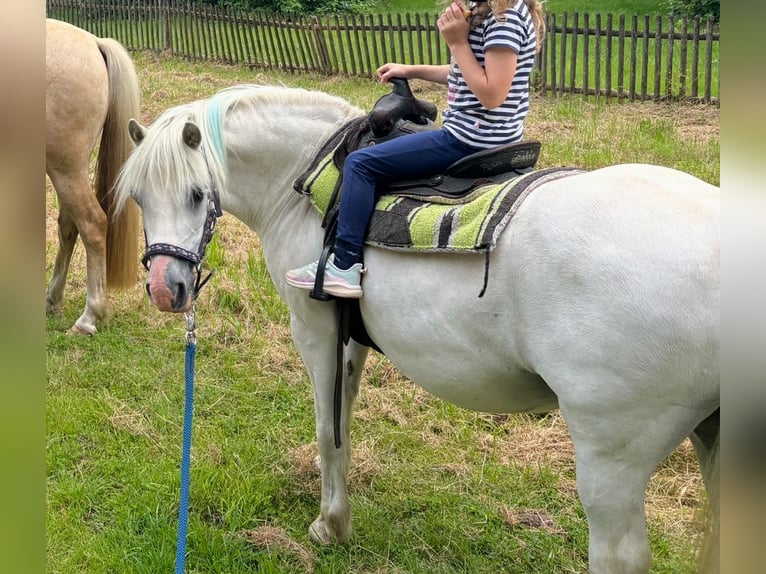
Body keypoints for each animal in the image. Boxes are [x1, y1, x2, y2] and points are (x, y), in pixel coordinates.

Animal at [45, 19, 141, 338]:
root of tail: (95, 43)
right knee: (69, 225)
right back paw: (52, 299)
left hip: (65, 169)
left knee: (93, 224)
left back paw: (89, 318)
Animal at [114, 85, 720, 574]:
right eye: (140, 197)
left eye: (197, 194)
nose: (166, 289)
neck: (302, 182)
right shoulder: (351, 338)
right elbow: (343, 424)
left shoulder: (315, 330)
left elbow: (327, 429)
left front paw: (330, 525)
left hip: (612, 456)